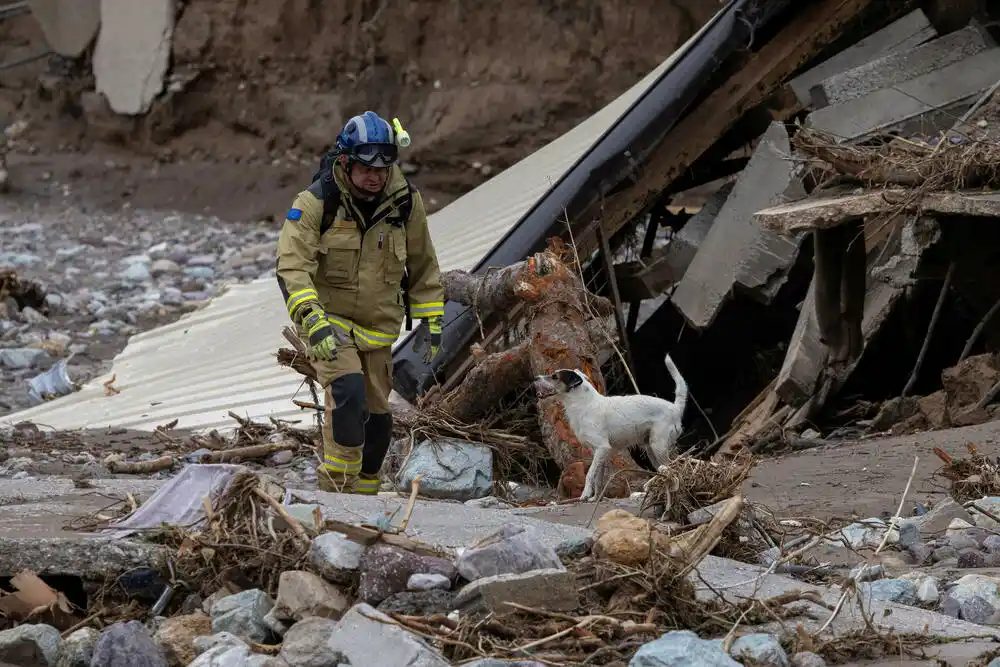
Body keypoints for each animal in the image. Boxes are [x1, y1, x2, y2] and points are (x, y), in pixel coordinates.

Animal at [532, 354, 688, 500]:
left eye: (554, 376)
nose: (535, 378)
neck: (583, 403)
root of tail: (675, 408)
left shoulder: (602, 448)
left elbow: (590, 475)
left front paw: (585, 495)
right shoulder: (599, 452)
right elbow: (598, 478)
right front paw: (596, 498)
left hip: (658, 446)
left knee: (673, 468)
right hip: (651, 449)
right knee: (663, 470)